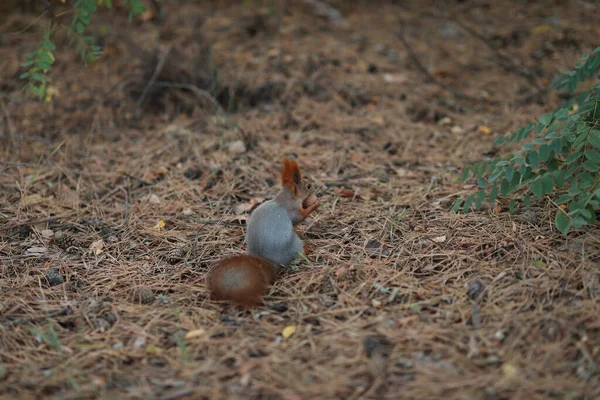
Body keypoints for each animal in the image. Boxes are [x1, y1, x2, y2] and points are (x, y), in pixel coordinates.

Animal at [207, 159, 322, 306]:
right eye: (308, 186)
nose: (315, 186)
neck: (285, 198)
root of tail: (267, 260)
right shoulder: (292, 210)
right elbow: (299, 217)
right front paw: (314, 205)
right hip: (294, 244)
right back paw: (308, 248)